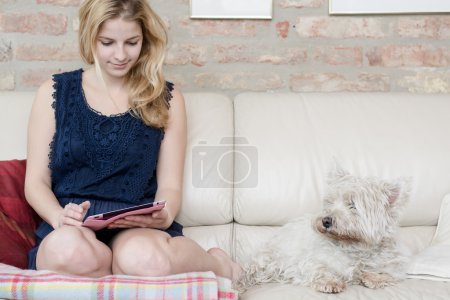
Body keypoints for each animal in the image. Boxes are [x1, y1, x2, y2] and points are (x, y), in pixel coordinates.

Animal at [237, 166, 410, 292]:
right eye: (330, 202)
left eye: (352, 205)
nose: (326, 220)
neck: (355, 247)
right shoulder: (309, 261)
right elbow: (319, 268)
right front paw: (330, 282)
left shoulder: (395, 265)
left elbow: (390, 272)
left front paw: (374, 278)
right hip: (267, 260)